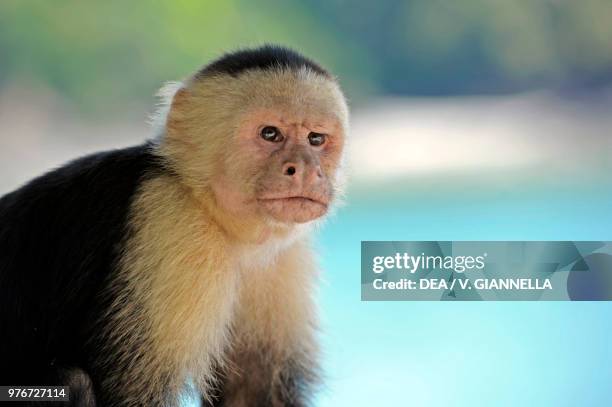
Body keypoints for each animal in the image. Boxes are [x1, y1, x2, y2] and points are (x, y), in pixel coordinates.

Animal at [0, 45, 346, 407]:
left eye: (316, 139)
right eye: (270, 134)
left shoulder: (283, 257)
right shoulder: (170, 223)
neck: (210, 210)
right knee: (71, 380)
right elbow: (131, 393)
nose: (304, 169)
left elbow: (253, 390)